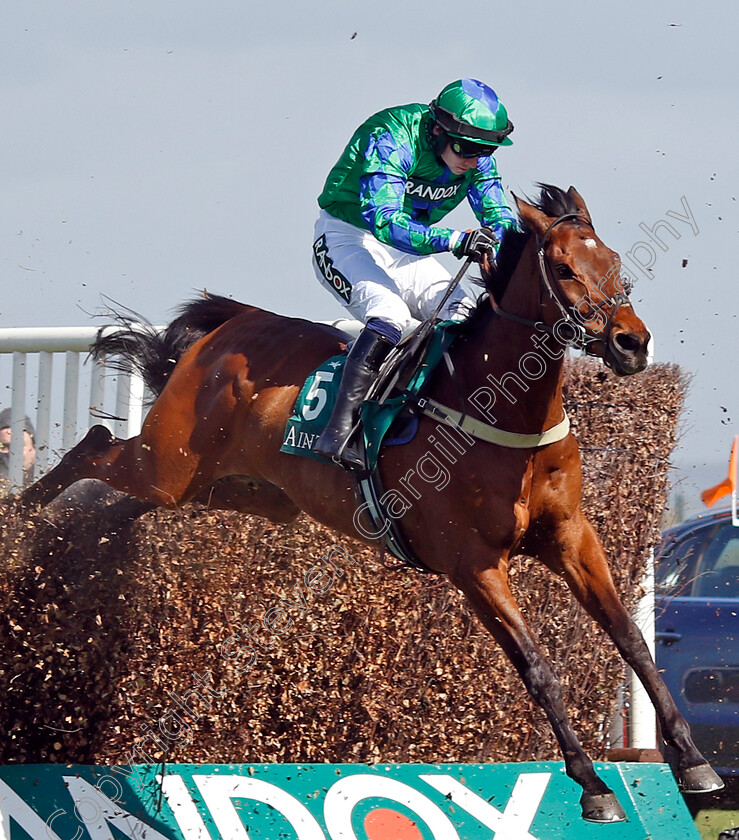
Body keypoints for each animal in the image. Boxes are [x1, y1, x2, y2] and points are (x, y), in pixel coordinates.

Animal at [21, 184, 724, 820]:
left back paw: (64, 549)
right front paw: (595, 786)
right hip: (168, 464)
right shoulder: (474, 566)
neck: (499, 408)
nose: (632, 343)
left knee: (112, 503)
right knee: (95, 446)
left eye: (615, 263)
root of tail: (229, 327)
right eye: (564, 269)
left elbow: (630, 639)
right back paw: (22, 523)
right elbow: (538, 668)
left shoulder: (571, 535)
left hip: (235, 491)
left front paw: (694, 764)